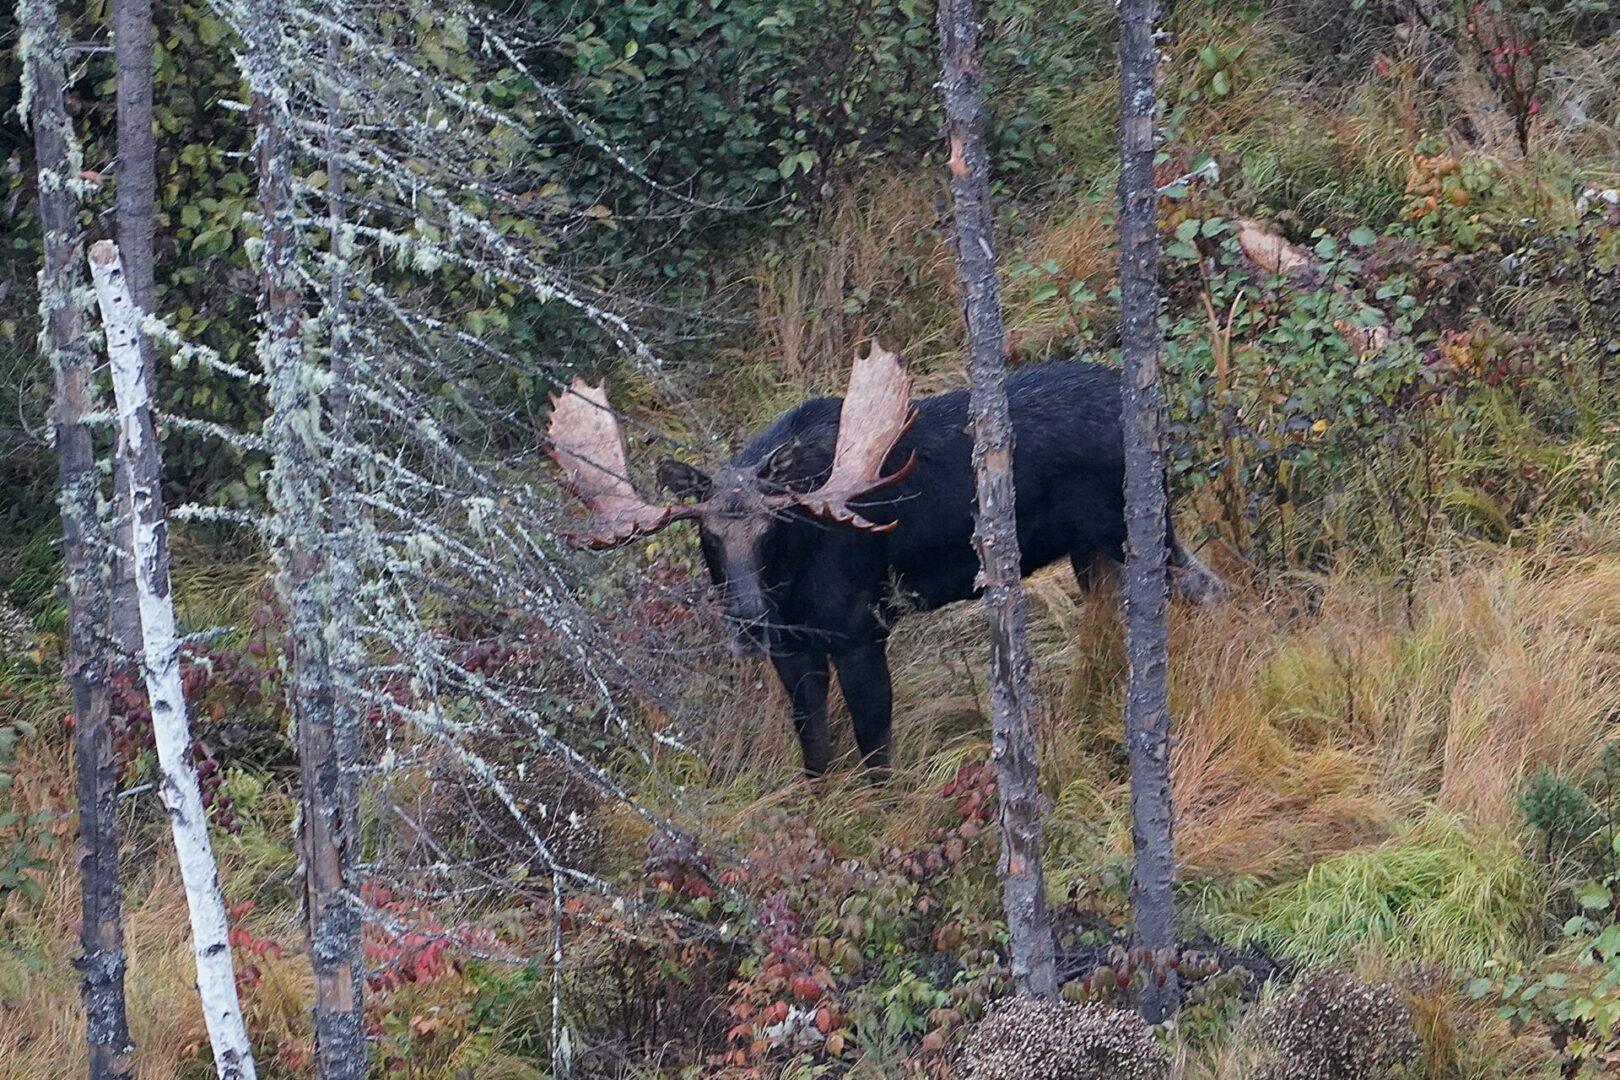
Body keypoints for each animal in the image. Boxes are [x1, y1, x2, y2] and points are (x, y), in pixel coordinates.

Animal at [547, 346, 1224, 777]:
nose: (747, 622)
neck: (791, 589)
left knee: (1206, 586)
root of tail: (1155, 412)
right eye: (707, 534)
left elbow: (875, 752)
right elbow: (815, 754)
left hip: (1138, 527)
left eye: (772, 529)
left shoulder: (859, 631)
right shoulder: (793, 648)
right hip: (1090, 551)